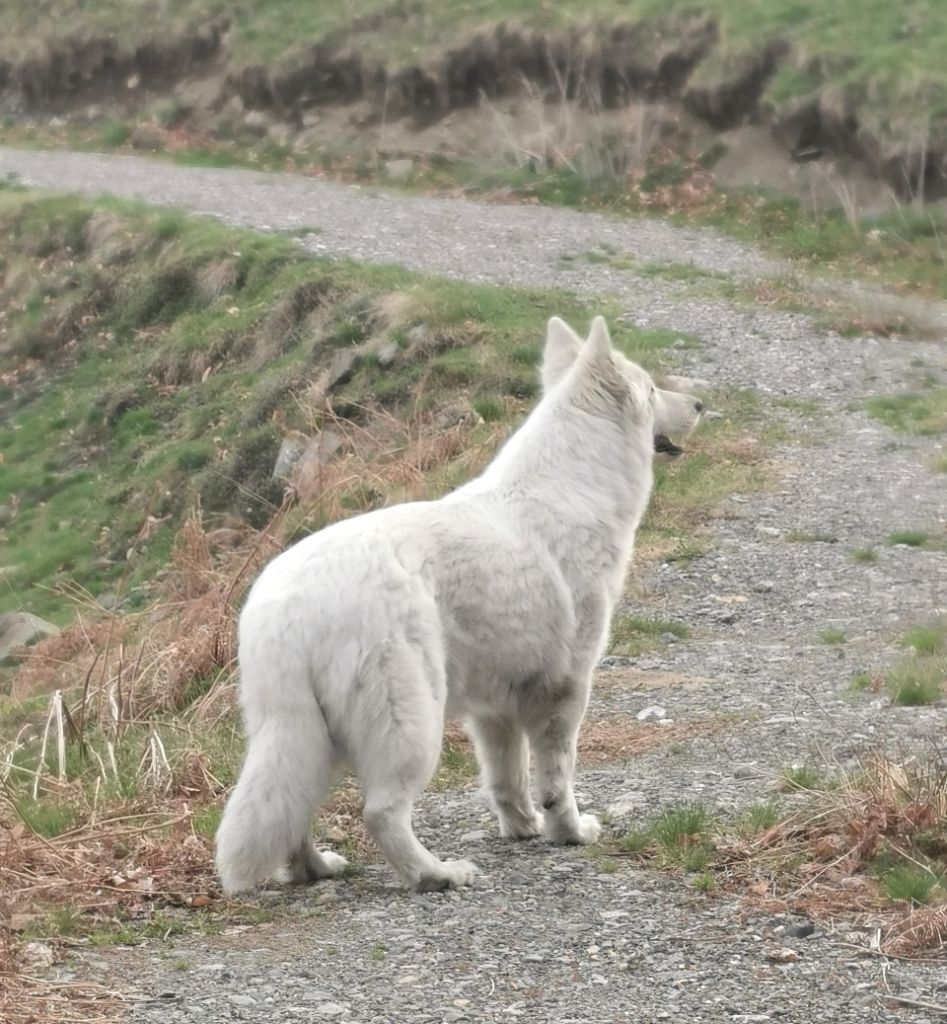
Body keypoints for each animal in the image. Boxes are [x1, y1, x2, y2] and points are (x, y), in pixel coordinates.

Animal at [216, 315, 700, 892]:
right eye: (650, 390)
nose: (700, 405)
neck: (571, 487)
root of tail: (286, 610)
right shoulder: (565, 688)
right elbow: (557, 777)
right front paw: (569, 831)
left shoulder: (496, 708)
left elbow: (507, 778)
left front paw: (523, 827)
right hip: (413, 722)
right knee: (381, 812)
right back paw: (436, 874)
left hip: (302, 732)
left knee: (293, 807)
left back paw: (314, 868)